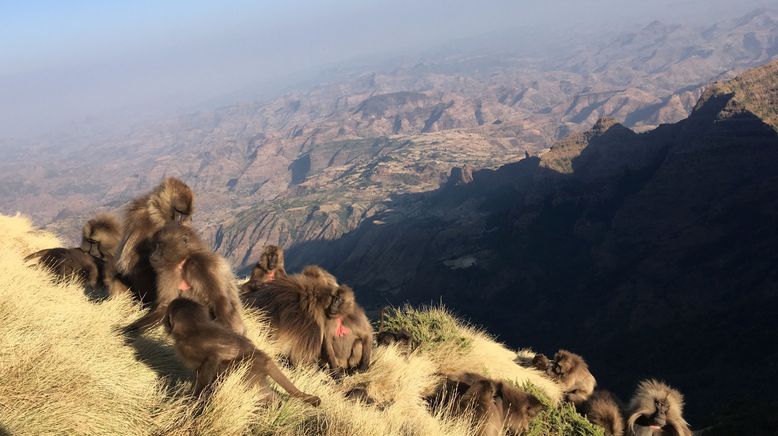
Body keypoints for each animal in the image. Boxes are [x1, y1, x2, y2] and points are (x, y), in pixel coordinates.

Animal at [115, 175, 194, 304]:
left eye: (184, 214)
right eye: (178, 212)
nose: (180, 221)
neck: (158, 214)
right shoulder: (142, 217)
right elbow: (129, 261)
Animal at [164, 298, 322, 408]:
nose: (165, 321)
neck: (195, 329)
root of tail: (264, 357)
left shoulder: (210, 352)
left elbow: (212, 363)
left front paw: (195, 398)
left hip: (248, 367)